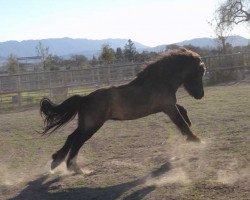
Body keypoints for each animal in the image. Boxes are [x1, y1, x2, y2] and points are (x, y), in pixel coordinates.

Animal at [40, 48, 205, 173]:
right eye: (199, 72)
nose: (200, 95)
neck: (159, 81)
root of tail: (84, 98)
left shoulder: (167, 106)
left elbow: (183, 112)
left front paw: (190, 130)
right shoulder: (168, 107)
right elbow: (181, 122)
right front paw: (196, 140)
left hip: (86, 124)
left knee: (71, 137)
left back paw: (56, 161)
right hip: (92, 126)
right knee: (77, 140)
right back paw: (75, 168)